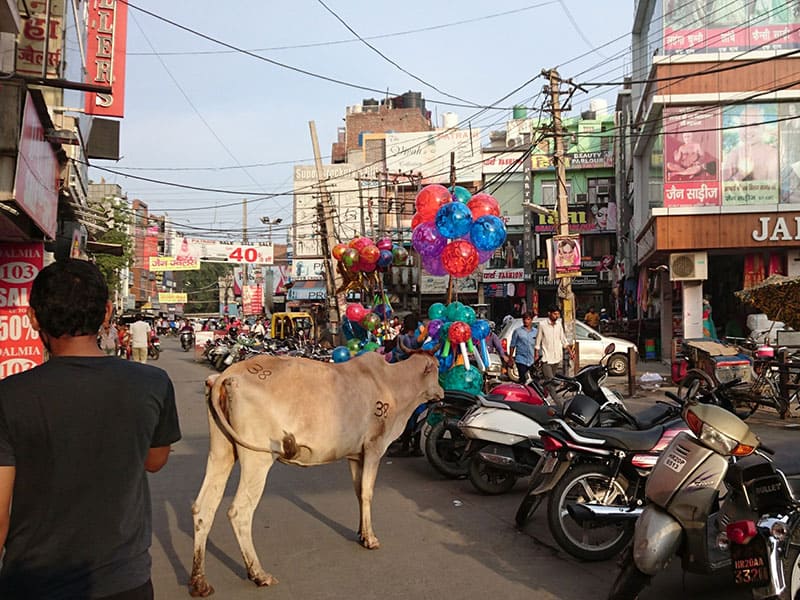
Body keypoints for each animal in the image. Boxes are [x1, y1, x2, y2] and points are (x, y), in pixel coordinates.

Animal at [188, 352, 444, 596]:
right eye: (437, 368)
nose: (442, 392)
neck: (392, 383)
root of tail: (225, 375)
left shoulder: (355, 455)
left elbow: (359, 492)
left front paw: (361, 533)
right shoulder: (374, 448)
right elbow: (368, 493)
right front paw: (370, 539)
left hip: (221, 450)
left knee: (203, 507)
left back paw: (200, 582)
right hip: (257, 458)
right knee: (239, 511)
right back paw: (258, 574)